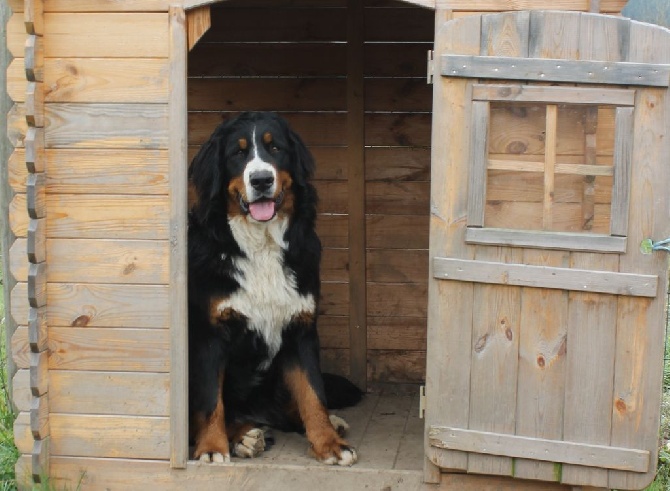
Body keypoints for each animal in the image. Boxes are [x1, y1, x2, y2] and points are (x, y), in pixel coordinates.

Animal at [186, 109, 364, 468]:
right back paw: (243, 437)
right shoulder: (210, 335)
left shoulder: (300, 329)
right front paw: (212, 447)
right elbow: (211, 401)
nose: (261, 180)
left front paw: (329, 443)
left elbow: (313, 393)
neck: (262, 245)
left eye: (275, 148)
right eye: (238, 153)